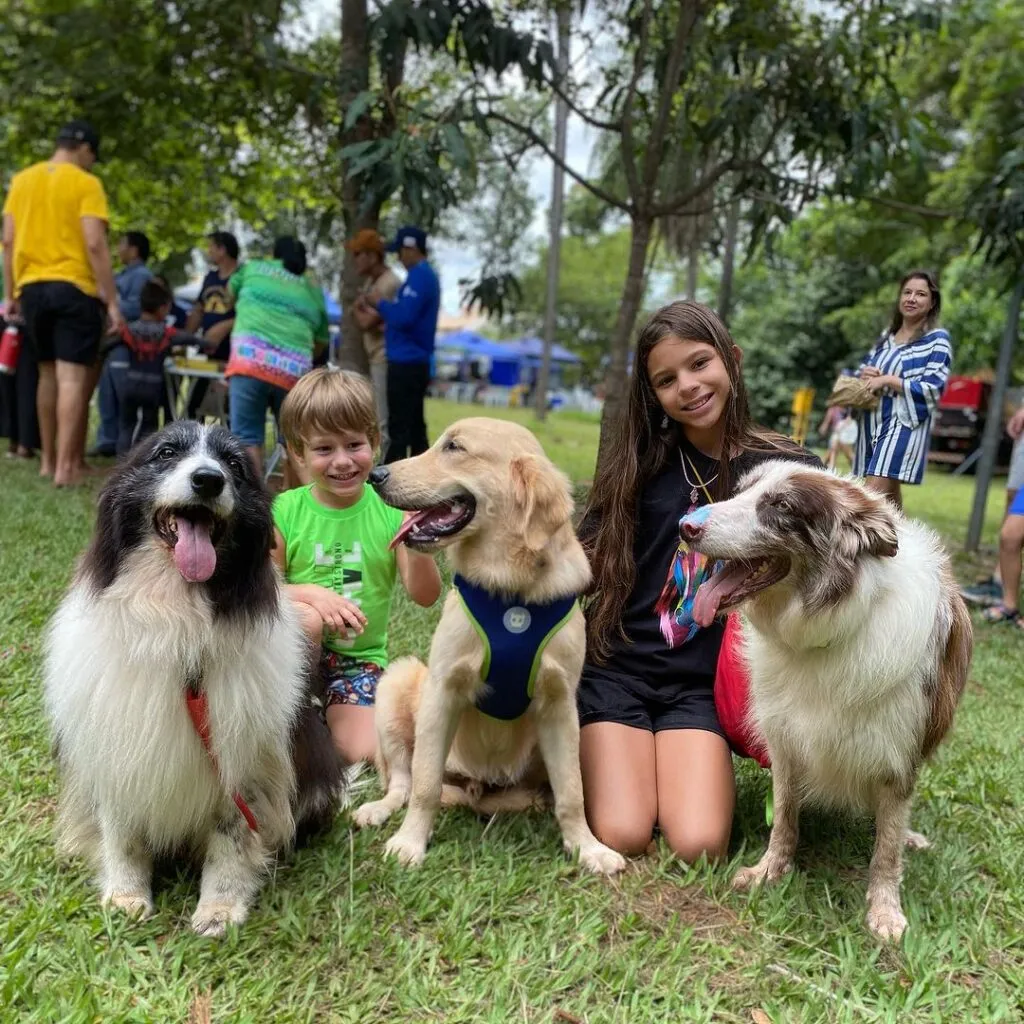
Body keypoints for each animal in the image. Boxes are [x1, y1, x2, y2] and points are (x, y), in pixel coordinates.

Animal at [45, 421, 344, 937]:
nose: (208, 480)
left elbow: (232, 837)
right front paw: (125, 898)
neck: (176, 619)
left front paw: (219, 910)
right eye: (166, 452)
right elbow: (121, 833)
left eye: (234, 466)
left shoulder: (245, 758)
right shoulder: (114, 744)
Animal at [352, 419, 622, 876]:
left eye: (455, 448)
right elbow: (424, 784)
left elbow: (572, 790)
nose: (376, 475)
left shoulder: (561, 704)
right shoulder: (442, 690)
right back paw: (377, 810)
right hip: (398, 682)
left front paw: (587, 847)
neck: (512, 590)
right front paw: (410, 842)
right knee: (401, 780)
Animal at [679, 464, 966, 942]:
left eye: (781, 506)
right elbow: (784, 819)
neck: (828, 625)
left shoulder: (898, 754)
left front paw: (885, 911)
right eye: (740, 492)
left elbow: (887, 849)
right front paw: (768, 872)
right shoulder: (785, 740)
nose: (685, 526)